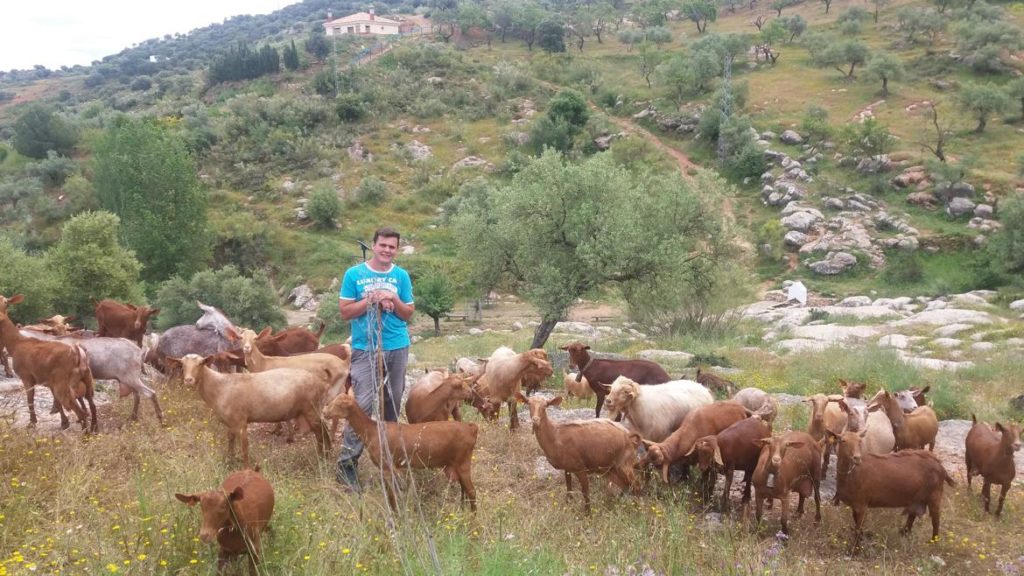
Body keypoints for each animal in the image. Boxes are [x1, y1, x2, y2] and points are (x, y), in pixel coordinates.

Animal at [0, 295, 96, 430]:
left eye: (6, 303)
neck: (16, 343)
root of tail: (79, 355)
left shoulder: (26, 377)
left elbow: (30, 399)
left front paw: (32, 423)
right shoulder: (48, 380)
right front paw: (64, 422)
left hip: (64, 384)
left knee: (81, 412)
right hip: (87, 380)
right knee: (91, 406)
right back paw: (94, 430)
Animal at [165, 350, 329, 467]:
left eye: (201, 364)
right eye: (182, 365)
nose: (188, 380)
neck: (219, 387)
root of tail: (321, 383)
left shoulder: (240, 422)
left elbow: (244, 448)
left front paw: (246, 469)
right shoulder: (230, 423)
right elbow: (230, 441)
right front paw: (229, 461)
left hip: (311, 408)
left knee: (320, 432)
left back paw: (321, 458)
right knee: (324, 429)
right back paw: (328, 452)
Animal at [323, 391, 479, 508]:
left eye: (339, 404)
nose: (324, 412)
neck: (373, 431)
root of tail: (471, 428)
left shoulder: (387, 467)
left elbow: (391, 495)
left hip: (463, 462)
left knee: (472, 491)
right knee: (464, 489)